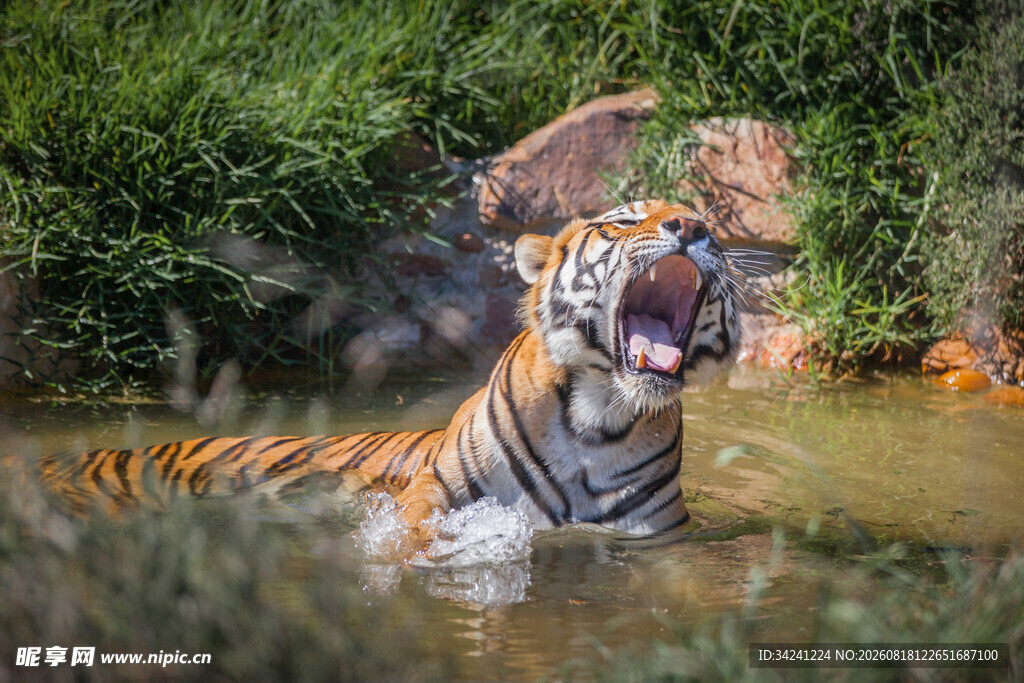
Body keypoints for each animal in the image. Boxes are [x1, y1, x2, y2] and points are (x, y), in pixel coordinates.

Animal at [40, 199, 742, 547]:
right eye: (624, 219)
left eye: (712, 226)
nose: (692, 227)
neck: (598, 415)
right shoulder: (437, 487)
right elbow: (412, 532)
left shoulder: (654, 535)